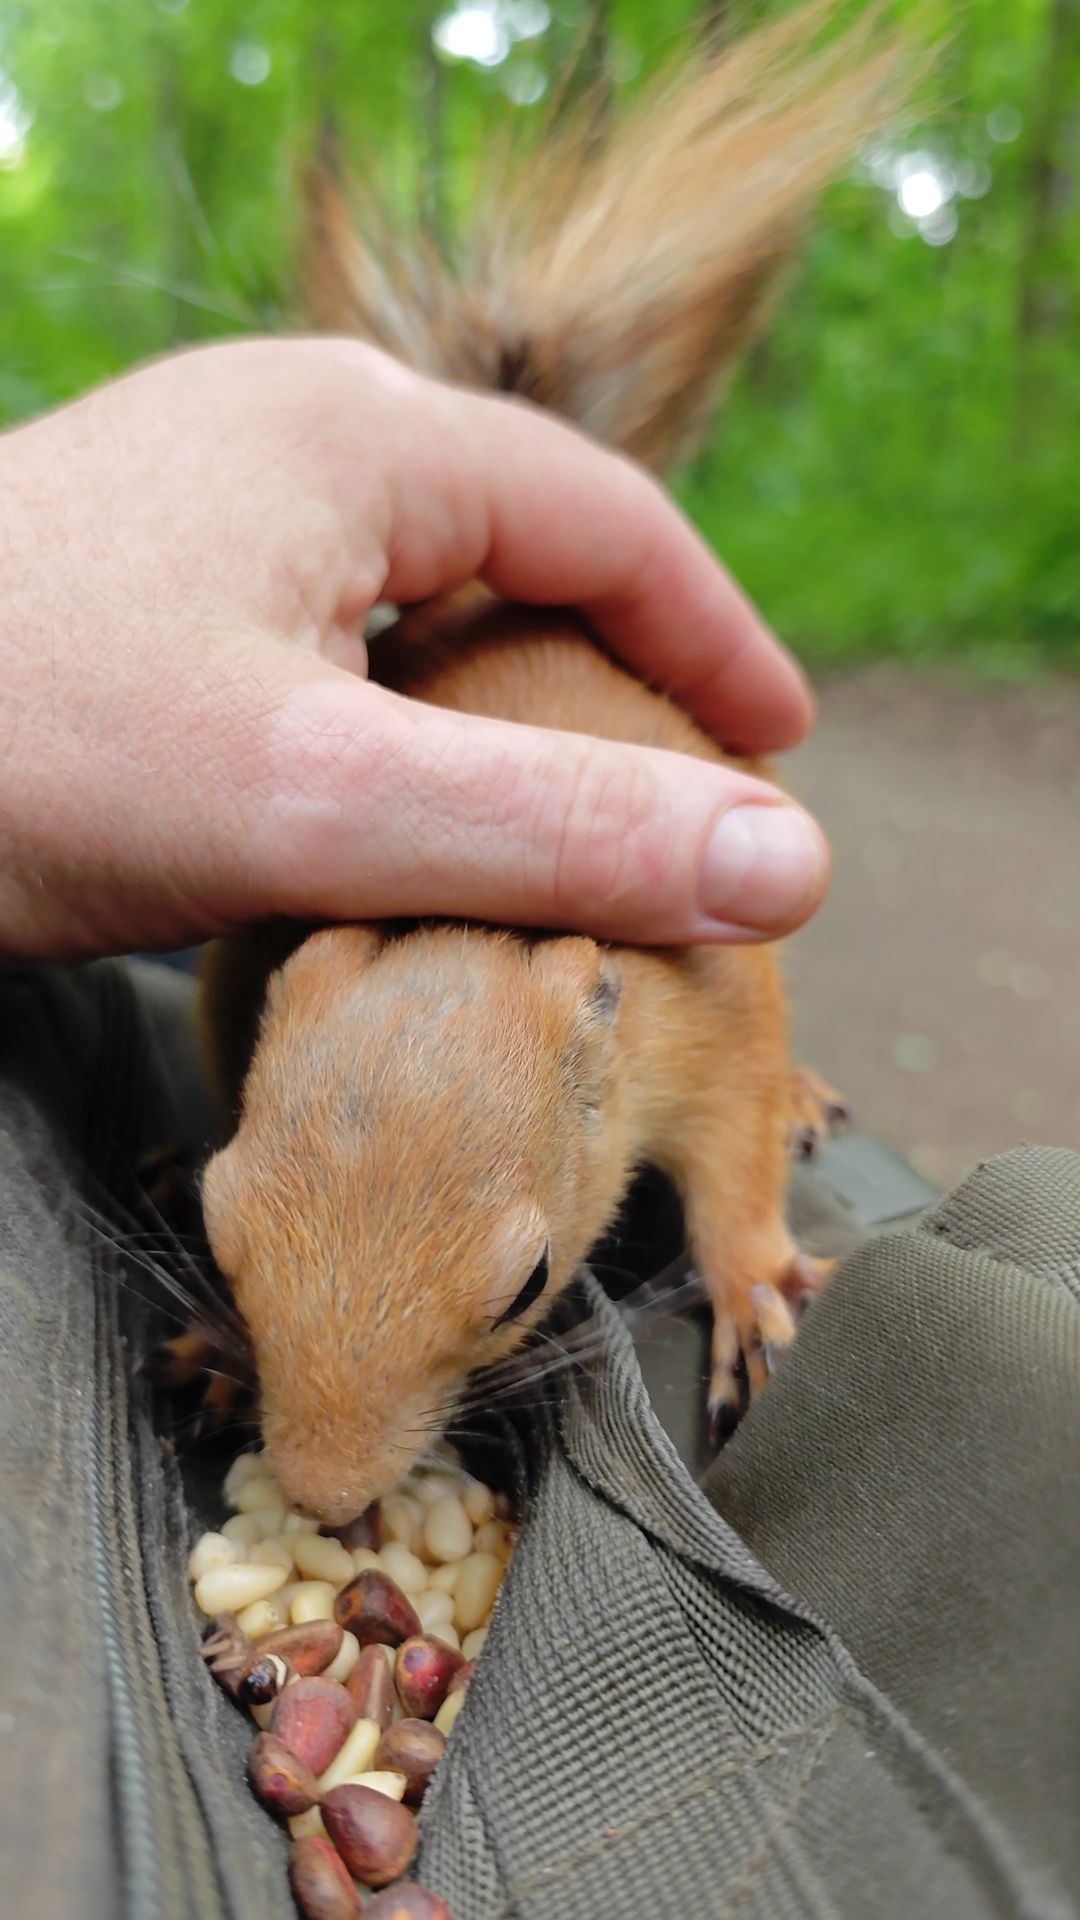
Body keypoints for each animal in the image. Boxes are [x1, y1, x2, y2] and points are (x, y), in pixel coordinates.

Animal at [194, 7, 898, 1523]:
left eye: (526, 1284)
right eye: (216, 1225)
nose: (326, 1494)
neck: (472, 922)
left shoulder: (707, 1005)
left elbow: (733, 1148)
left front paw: (755, 1283)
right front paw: (214, 1354)